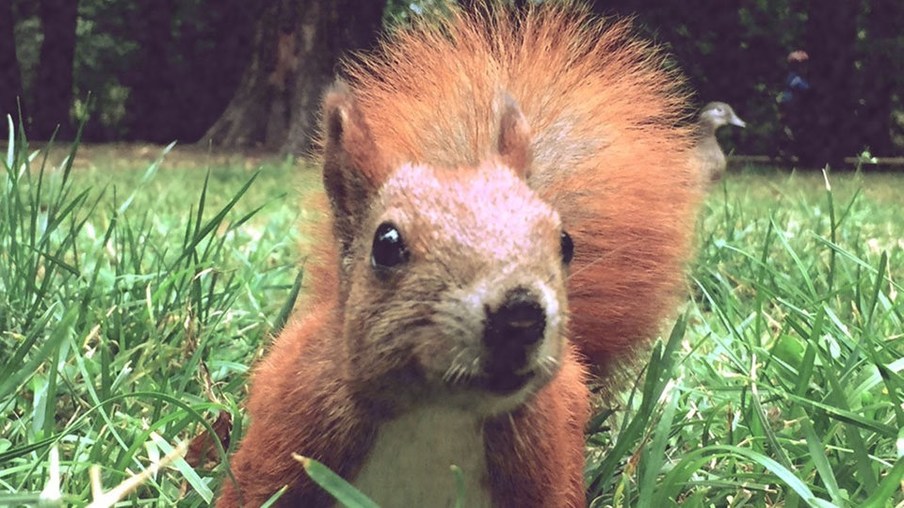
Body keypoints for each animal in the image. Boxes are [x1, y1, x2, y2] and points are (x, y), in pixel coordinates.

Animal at [215, 1, 704, 506]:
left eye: (566, 244)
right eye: (386, 245)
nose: (520, 315)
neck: (437, 413)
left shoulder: (540, 456)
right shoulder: (294, 427)